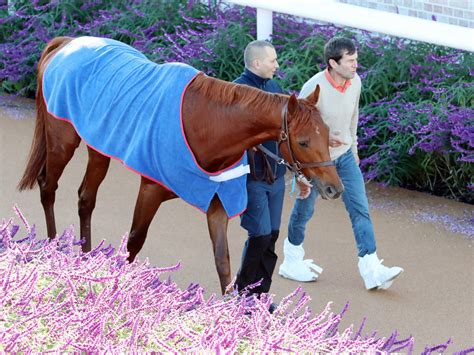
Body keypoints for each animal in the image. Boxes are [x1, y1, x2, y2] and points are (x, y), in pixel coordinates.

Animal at [19, 37, 344, 296]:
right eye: (303, 141)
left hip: (98, 145)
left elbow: (223, 261)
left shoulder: (217, 198)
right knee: (48, 186)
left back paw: (85, 259)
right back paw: (53, 250)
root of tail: (67, 43)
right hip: (62, 138)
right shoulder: (151, 189)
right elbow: (134, 242)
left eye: (327, 134)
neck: (206, 121)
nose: (334, 188)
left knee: (86, 198)